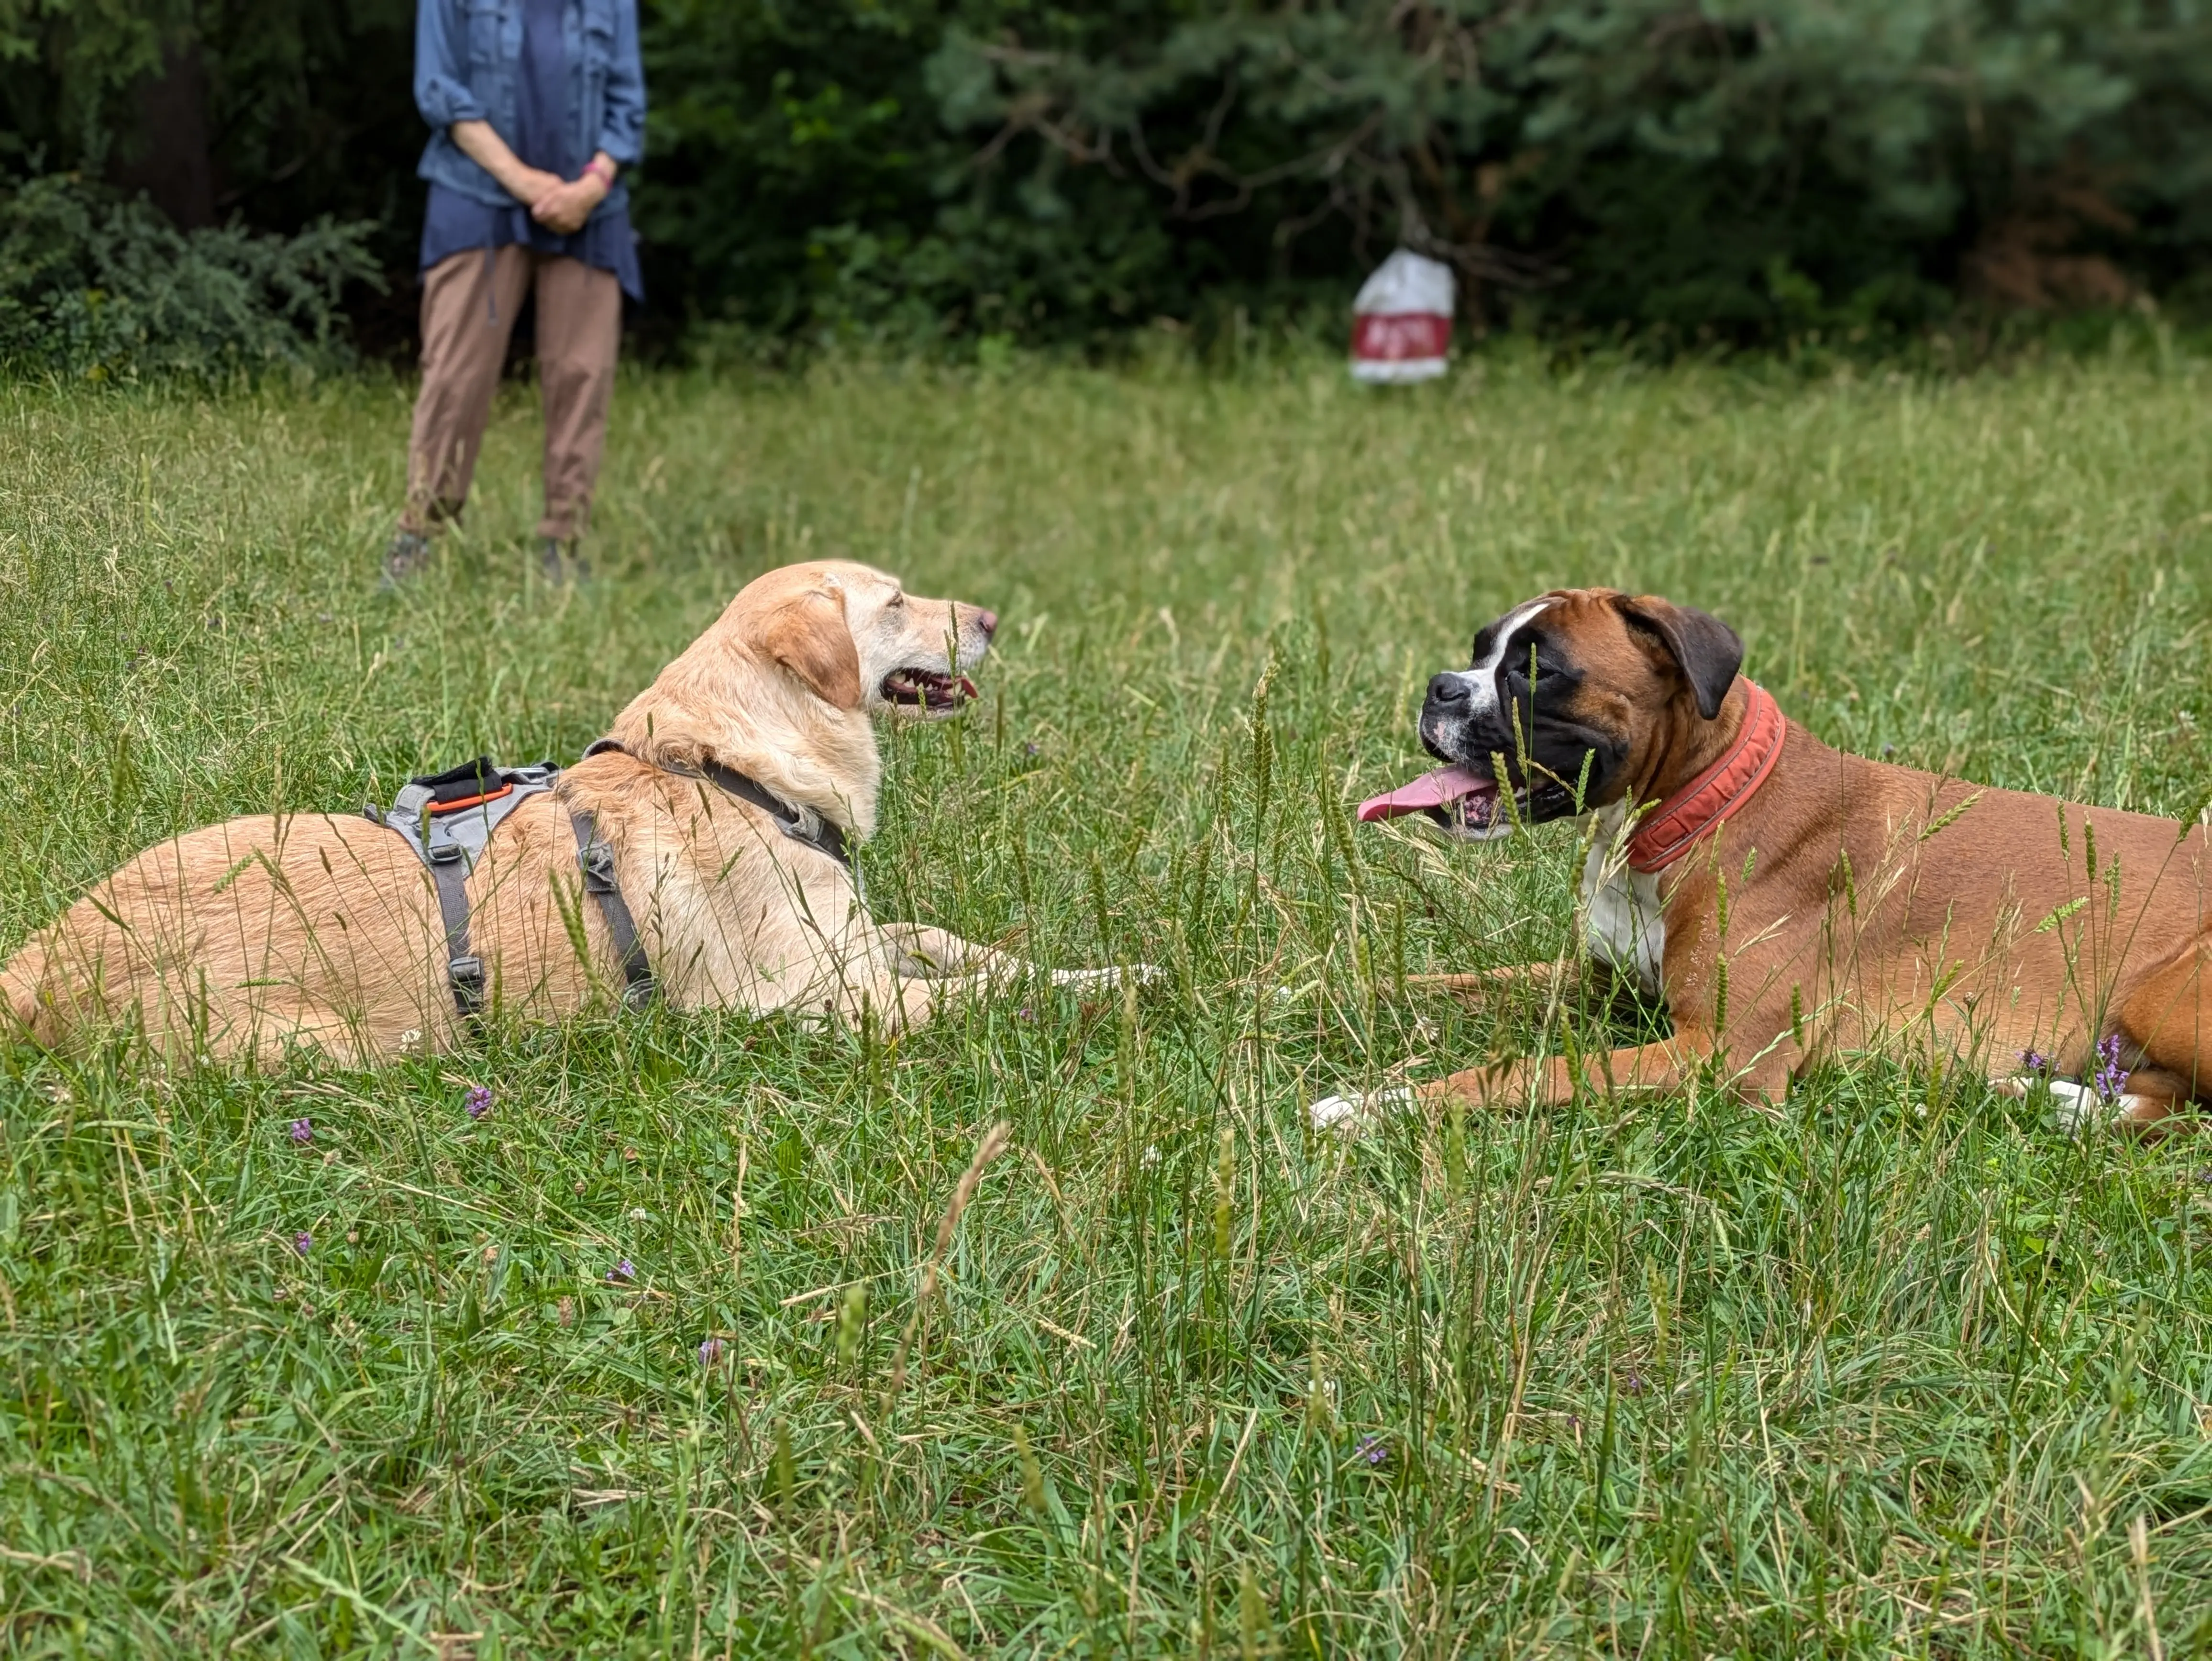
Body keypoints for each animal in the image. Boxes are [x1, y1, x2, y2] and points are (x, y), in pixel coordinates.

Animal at [4, 562, 1123, 1066]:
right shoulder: (817, 1001)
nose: (992, 619)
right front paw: (1117, 989)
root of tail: (42, 956)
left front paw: (1091, 968)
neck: (734, 766)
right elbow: (978, 995)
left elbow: (957, 944)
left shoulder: (853, 941)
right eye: (891, 603)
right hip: (335, 1042)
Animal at [1309, 593, 2212, 1141]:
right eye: (1479, 649)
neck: (1696, 803)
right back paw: (2049, 1095)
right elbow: (1443, 983)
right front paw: (1306, 992)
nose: (1438, 688)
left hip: (2162, 994)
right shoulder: (1599, 981)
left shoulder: (1721, 1056)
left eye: (1537, 669)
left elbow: (1519, 1072)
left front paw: (1373, 1102)